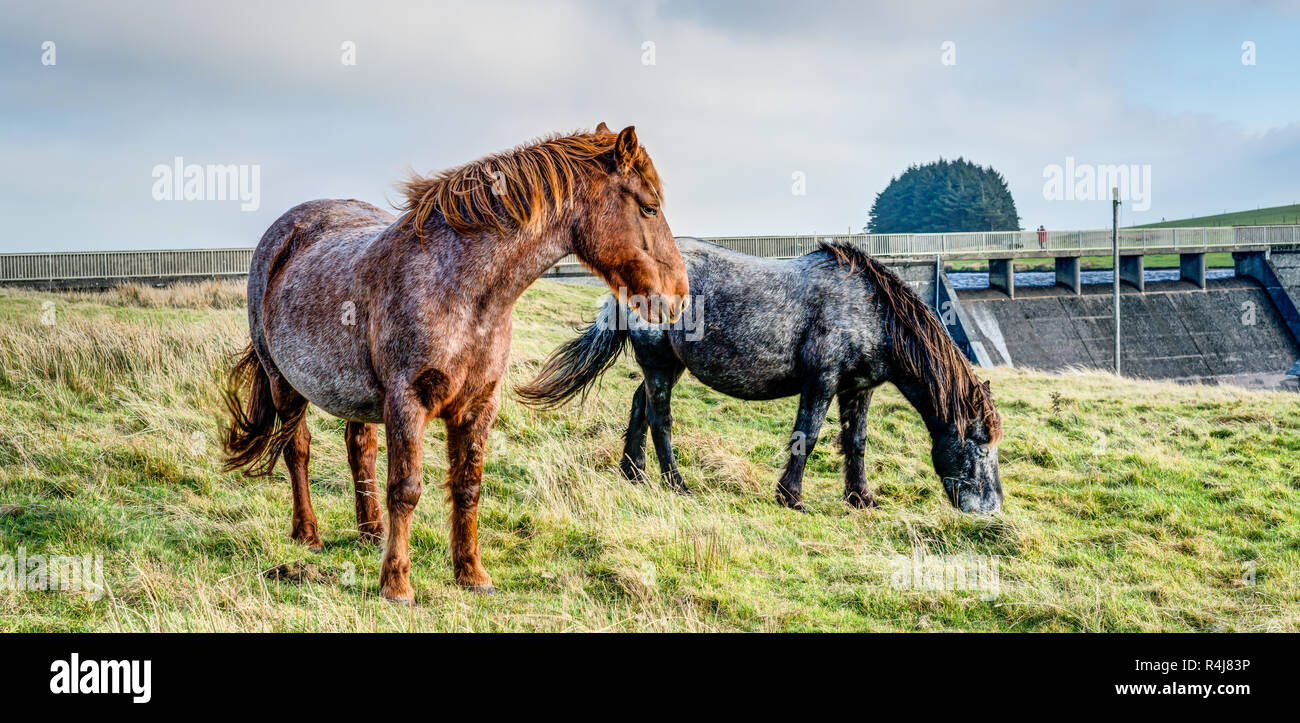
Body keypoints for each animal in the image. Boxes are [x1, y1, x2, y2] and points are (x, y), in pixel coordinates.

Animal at [220, 125, 691, 603]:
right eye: (648, 207)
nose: (678, 296)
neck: (462, 292)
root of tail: (281, 236)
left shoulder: (479, 405)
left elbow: (468, 486)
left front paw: (472, 574)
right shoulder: (407, 402)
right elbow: (406, 489)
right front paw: (396, 583)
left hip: (355, 396)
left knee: (360, 448)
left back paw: (371, 532)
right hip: (284, 382)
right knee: (296, 449)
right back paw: (308, 533)